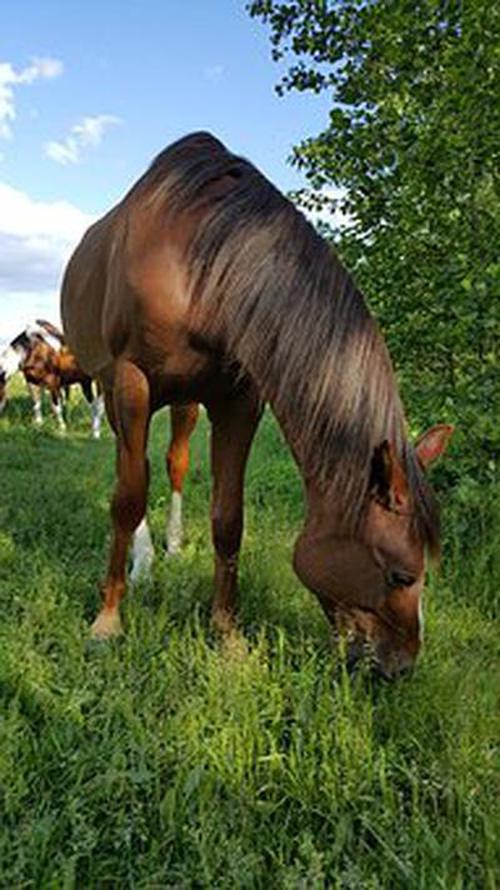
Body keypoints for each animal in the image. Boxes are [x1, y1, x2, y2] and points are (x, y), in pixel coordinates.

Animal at [61, 130, 454, 672]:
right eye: (400, 574)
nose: (401, 667)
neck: (197, 265)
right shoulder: (131, 382)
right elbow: (127, 499)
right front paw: (107, 622)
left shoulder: (240, 398)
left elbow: (228, 518)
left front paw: (227, 634)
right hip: (115, 391)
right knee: (134, 470)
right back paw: (142, 563)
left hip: (184, 402)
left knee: (173, 462)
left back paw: (172, 546)